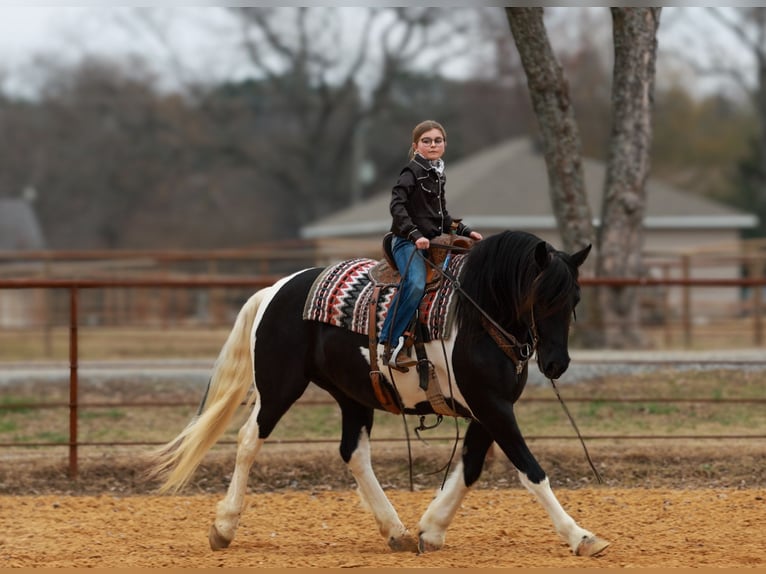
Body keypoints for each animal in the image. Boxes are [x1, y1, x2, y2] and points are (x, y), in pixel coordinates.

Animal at [146, 230, 609, 557]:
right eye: (541, 297)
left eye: (574, 298)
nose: (557, 364)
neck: (476, 316)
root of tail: (276, 290)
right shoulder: (493, 408)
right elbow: (531, 470)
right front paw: (581, 536)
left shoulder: (487, 410)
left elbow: (472, 468)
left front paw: (431, 529)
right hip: (279, 388)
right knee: (248, 441)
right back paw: (224, 527)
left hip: (352, 395)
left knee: (353, 452)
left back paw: (396, 530)